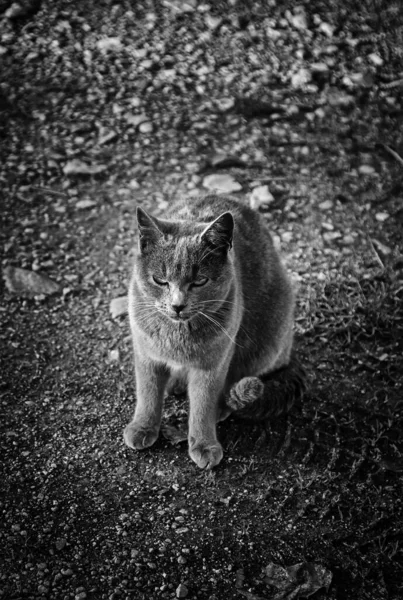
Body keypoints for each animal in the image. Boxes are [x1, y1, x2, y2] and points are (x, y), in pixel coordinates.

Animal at [124, 193, 304, 468]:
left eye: (199, 281)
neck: (176, 336)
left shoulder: (212, 365)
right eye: (160, 281)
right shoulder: (146, 354)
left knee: (233, 389)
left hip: (265, 343)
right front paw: (143, 428)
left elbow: (203, 405)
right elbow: (148, 393)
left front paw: (204, 445)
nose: (177, 305)